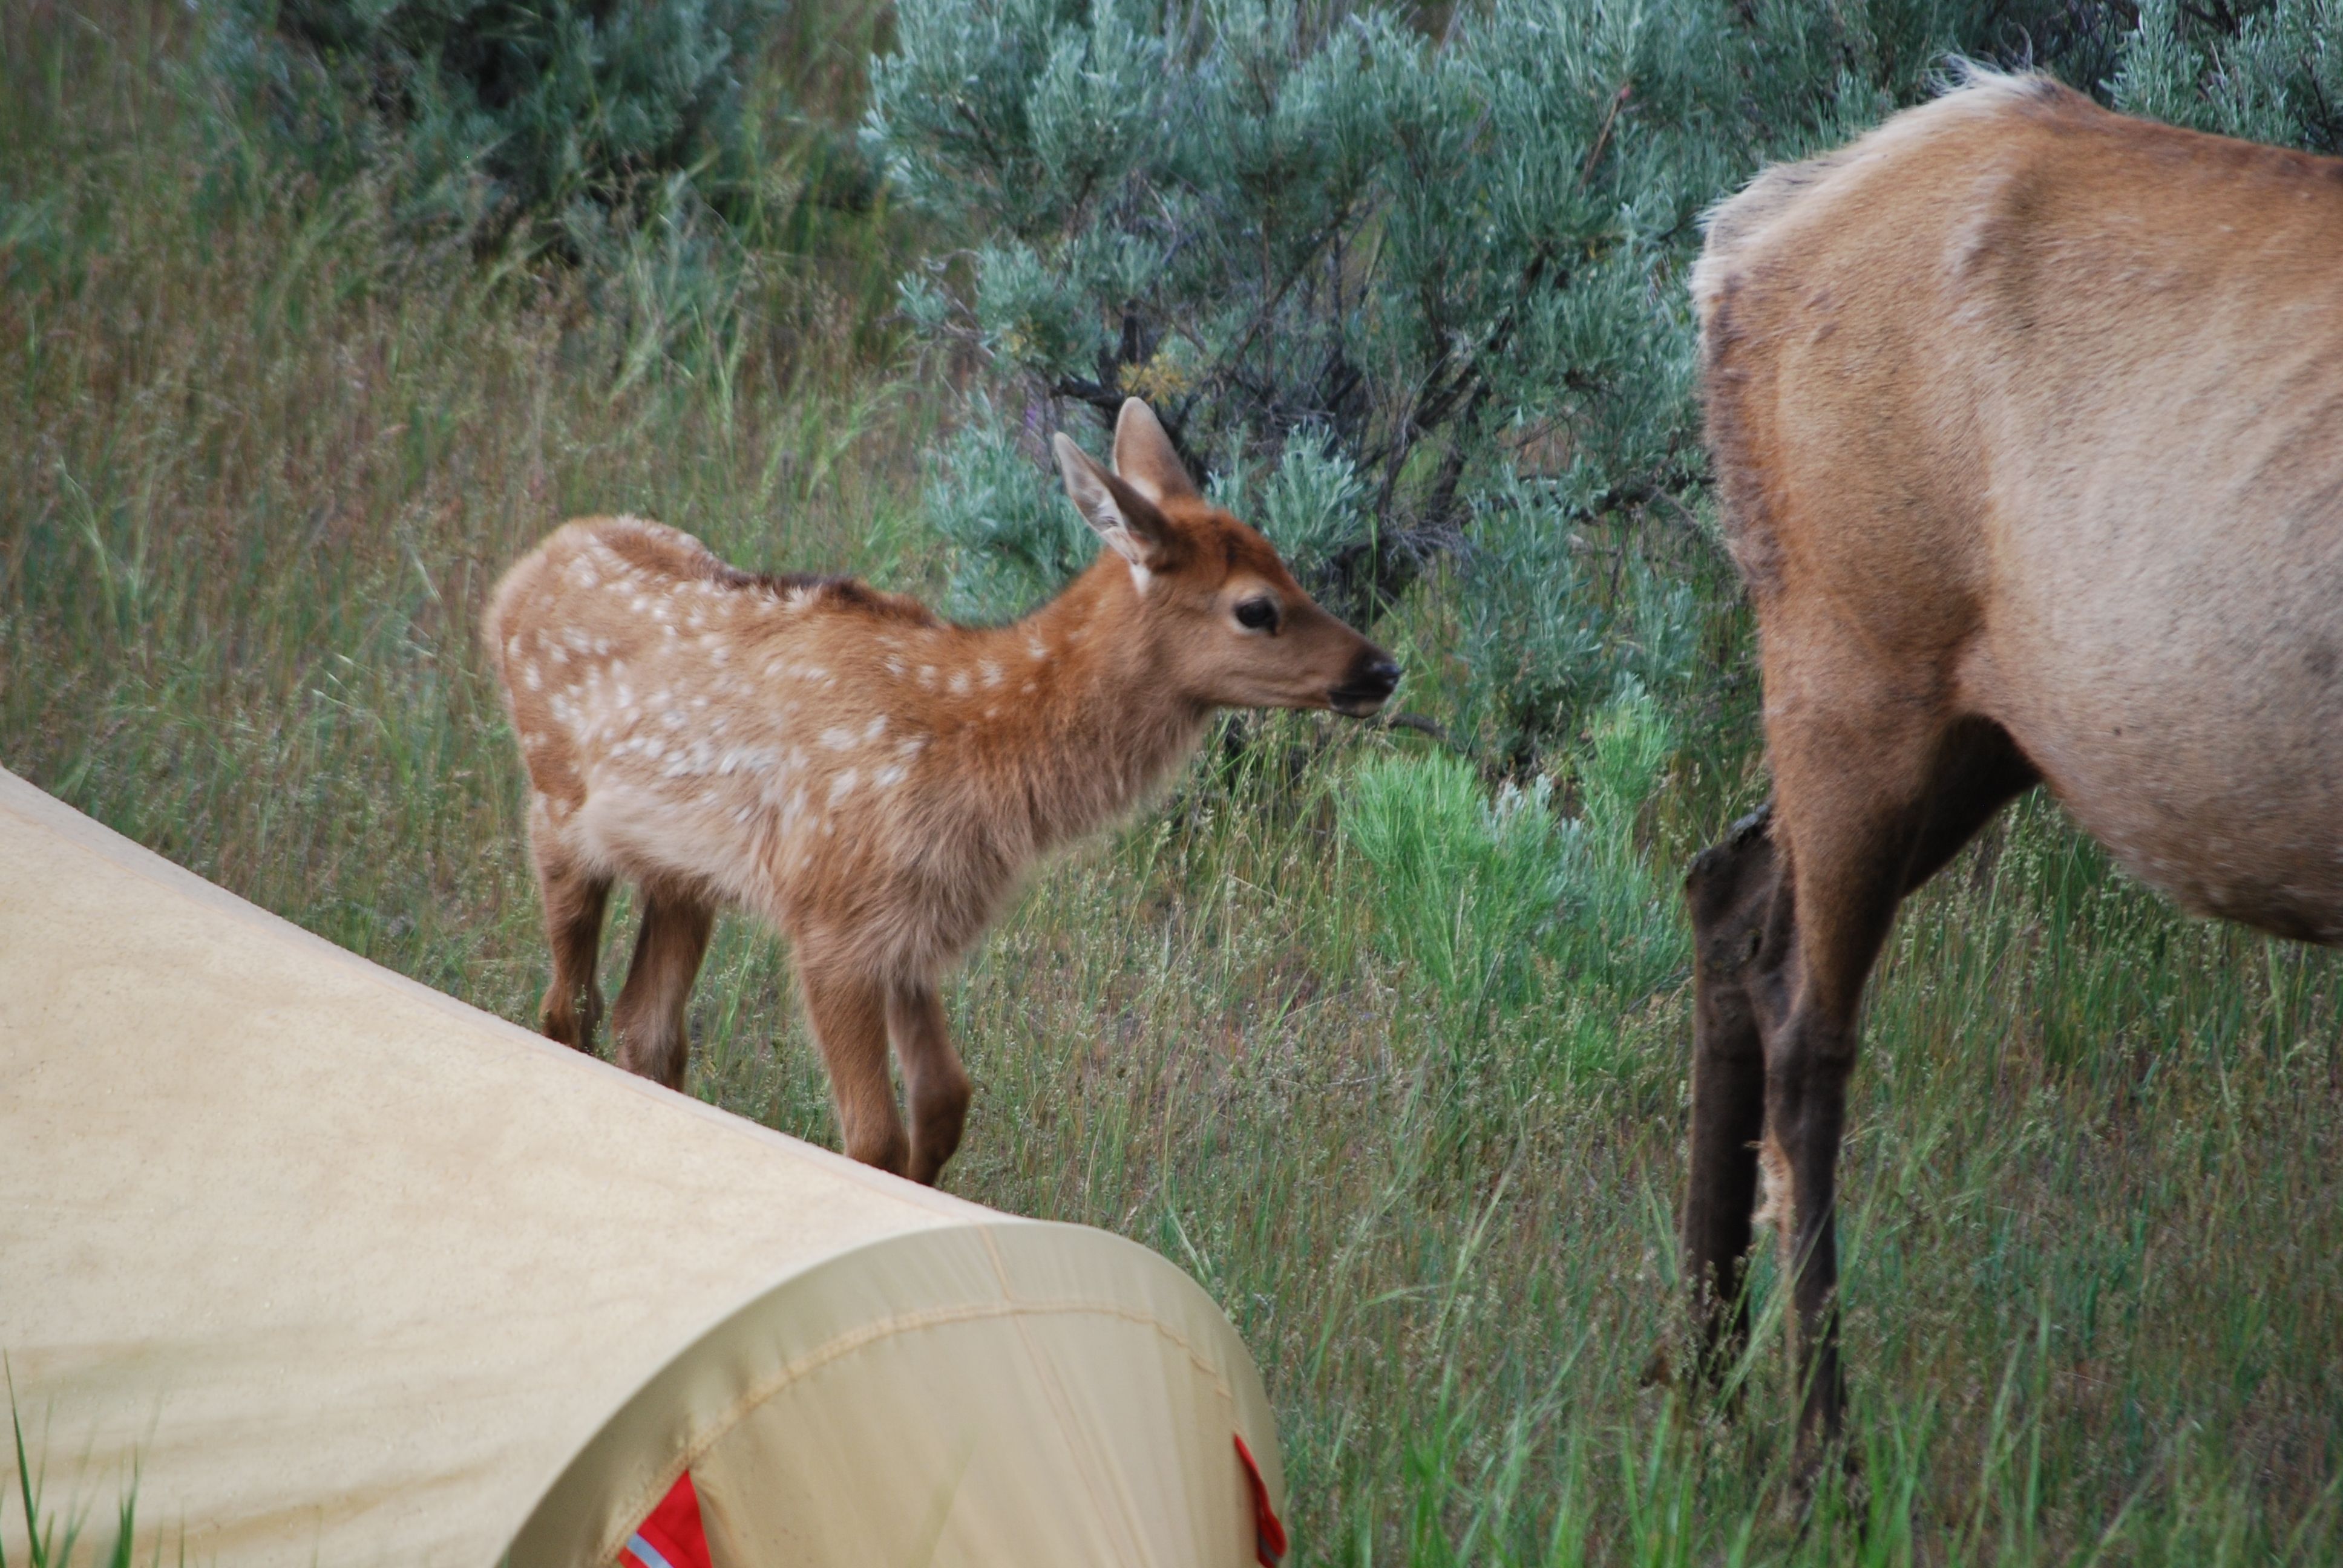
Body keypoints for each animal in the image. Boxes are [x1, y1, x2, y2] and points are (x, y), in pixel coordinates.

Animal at [477, 398, 1387, 1181]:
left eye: (1290, 568)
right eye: (1256, 608)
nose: (1381, 669)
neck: (970, 745)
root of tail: (517, 578)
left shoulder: (916, 924)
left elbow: (946, 1103)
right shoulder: (831, 918)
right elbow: (873, 1137)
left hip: (683, 875)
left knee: (646, 1025)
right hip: (555, 809)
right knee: (570, 1006)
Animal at [1686, 70, 2343, 1472]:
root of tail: (1739, 244)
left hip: (1979, 731)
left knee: (1725, 889)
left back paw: (1703, 1394)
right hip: (1855, 662)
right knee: (1802, 1019)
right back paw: (1821, 1459)